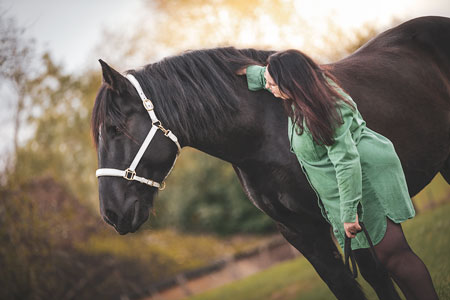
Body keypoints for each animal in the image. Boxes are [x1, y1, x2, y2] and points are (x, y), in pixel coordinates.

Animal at [92, 17, 450, 300]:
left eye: (114, 129)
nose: (111, 214)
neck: (266, 131)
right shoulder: (300, 233)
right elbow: (344, 288)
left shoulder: (349, 221)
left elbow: (379, 279)